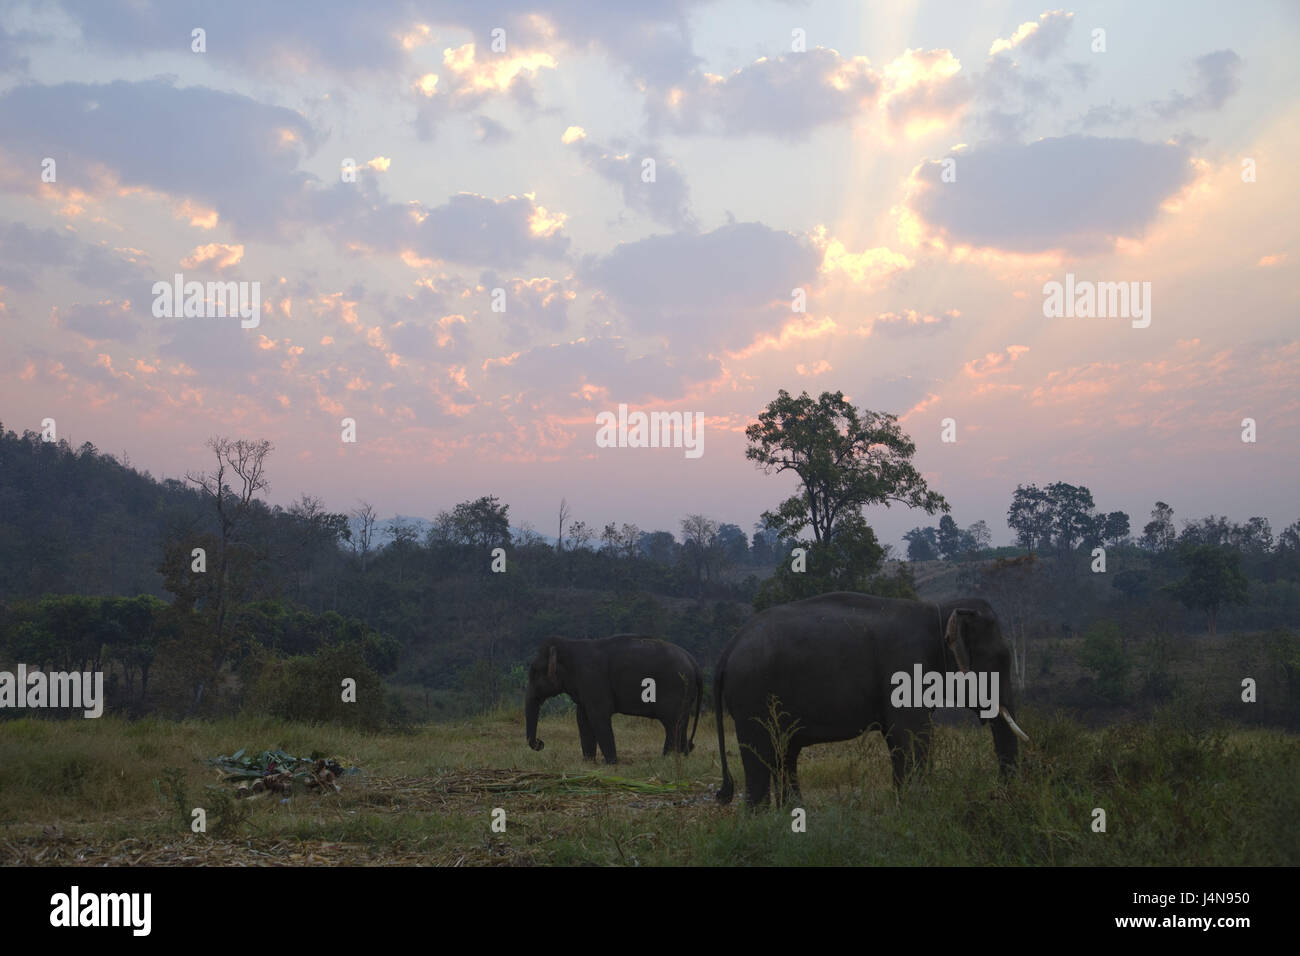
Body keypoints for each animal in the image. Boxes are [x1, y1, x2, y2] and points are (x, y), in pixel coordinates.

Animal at [525, 635, 703, 764]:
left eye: (534, 672)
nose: (541, 743)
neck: (568, 644)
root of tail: (693, 662)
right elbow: (582, 719)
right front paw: (588, 762)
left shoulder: (593, 679)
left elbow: (598, 716)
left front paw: (610, 762)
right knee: (679, 723)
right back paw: (681, 756)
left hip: (676, 689)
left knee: (672, 724)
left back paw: (666, 758)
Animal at [714, 592, 1029, 807]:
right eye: (1000, 659)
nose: (998, 794)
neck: (939, 609)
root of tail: (728, 648)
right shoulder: (905, 666)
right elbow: (912, 735)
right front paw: (917, 808)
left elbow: (899, 739)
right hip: (752, 697)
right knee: (759, 757)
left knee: (785, 754)